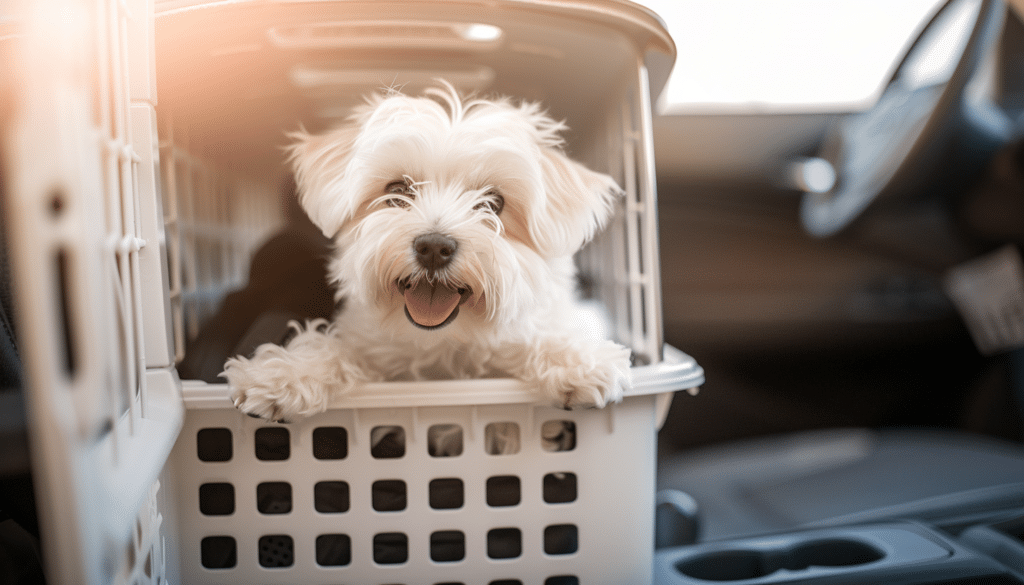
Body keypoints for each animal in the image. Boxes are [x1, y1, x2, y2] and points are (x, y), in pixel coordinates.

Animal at [226, 83, 630, 422]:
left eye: (493, 203)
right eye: (398, 190)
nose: (434, 247)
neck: (444, 342)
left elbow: (546, 336)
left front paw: (581, 362)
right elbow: (337, 349)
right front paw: (283, 374)